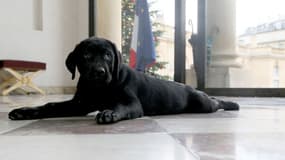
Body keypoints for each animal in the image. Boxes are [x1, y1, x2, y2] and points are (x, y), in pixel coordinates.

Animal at [8, 37, 237, 124]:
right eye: (86, 56)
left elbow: (121, 106)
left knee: (215, 102)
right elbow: (51, 105)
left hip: (202, 103)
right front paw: (25, 111)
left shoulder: (131, 103)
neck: (100, 88)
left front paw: (109, 112)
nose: (99, 72)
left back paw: (232, 103)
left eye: (108, 56)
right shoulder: (79, 104)